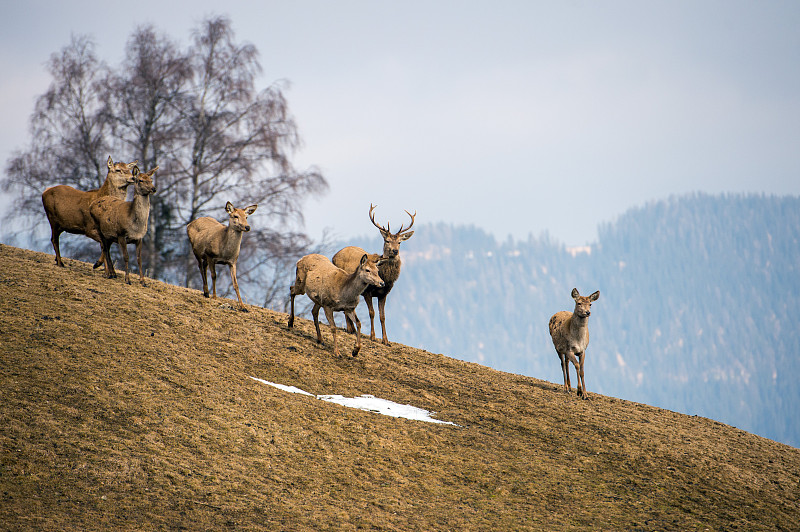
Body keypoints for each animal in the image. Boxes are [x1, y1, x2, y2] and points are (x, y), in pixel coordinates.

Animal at [332, 203, 416, 344]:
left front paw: (386, 340)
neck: (384, 277)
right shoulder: (367, 291)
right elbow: (372, 313)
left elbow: (383, 316)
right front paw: (372, 336)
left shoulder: (384, 294)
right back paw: (350, 329)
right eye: (387, 240)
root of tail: (334, 255)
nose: (394, 251)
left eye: (399, 242)